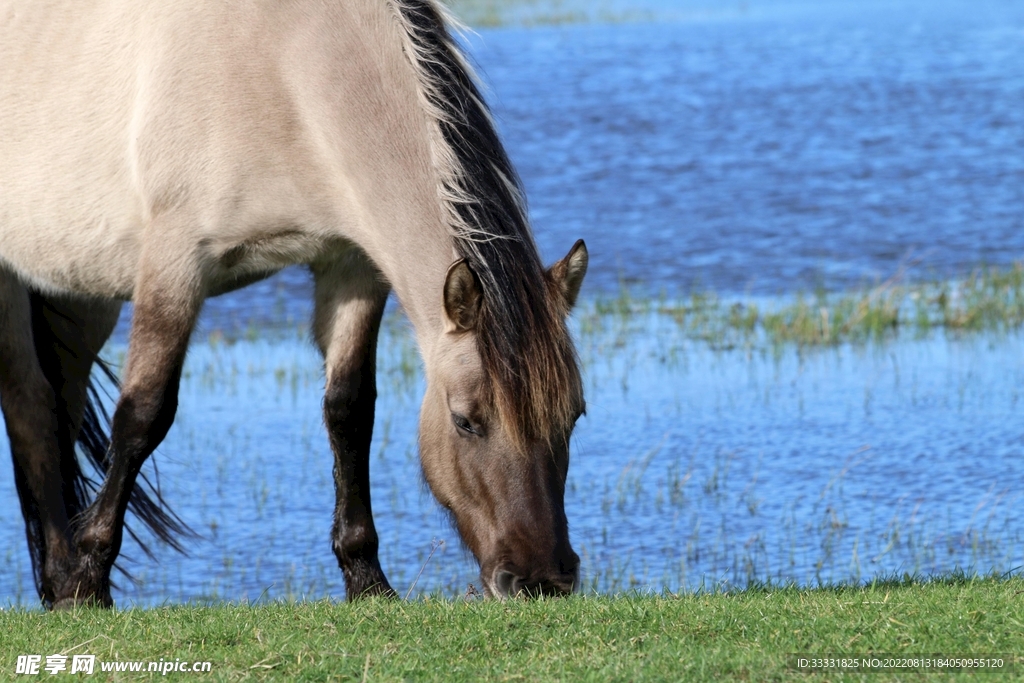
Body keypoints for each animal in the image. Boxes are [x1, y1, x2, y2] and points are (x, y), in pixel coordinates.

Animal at [0, 0, 588, 608]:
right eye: (466, 422)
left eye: (574, 416)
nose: (542, 579)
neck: (288, 60)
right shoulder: (174, 261)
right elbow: (143, 415)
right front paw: (88, 581)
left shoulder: (351, 266)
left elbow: (350, 410)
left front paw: (367, 579)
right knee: (29, 408)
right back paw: (64, 576)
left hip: (78, 295)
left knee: (59, 407)